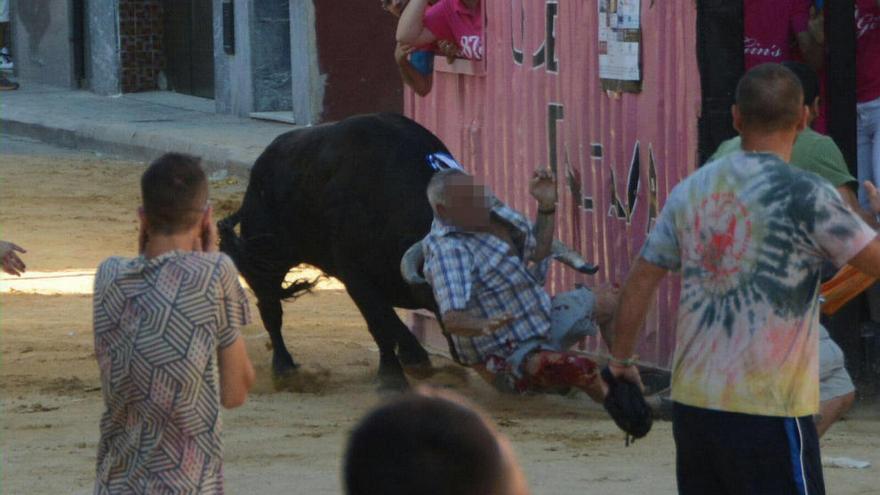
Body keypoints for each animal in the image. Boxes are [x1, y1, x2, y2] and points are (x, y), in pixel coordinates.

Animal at [218, 112, 600, 392]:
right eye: (476, 288)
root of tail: (264, 161)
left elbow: (388, 320)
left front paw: (414, 361)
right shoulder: (355, 275)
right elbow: (380, 322)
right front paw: (393, 375)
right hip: (265, 259)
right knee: (270, 309)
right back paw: (286, 369)